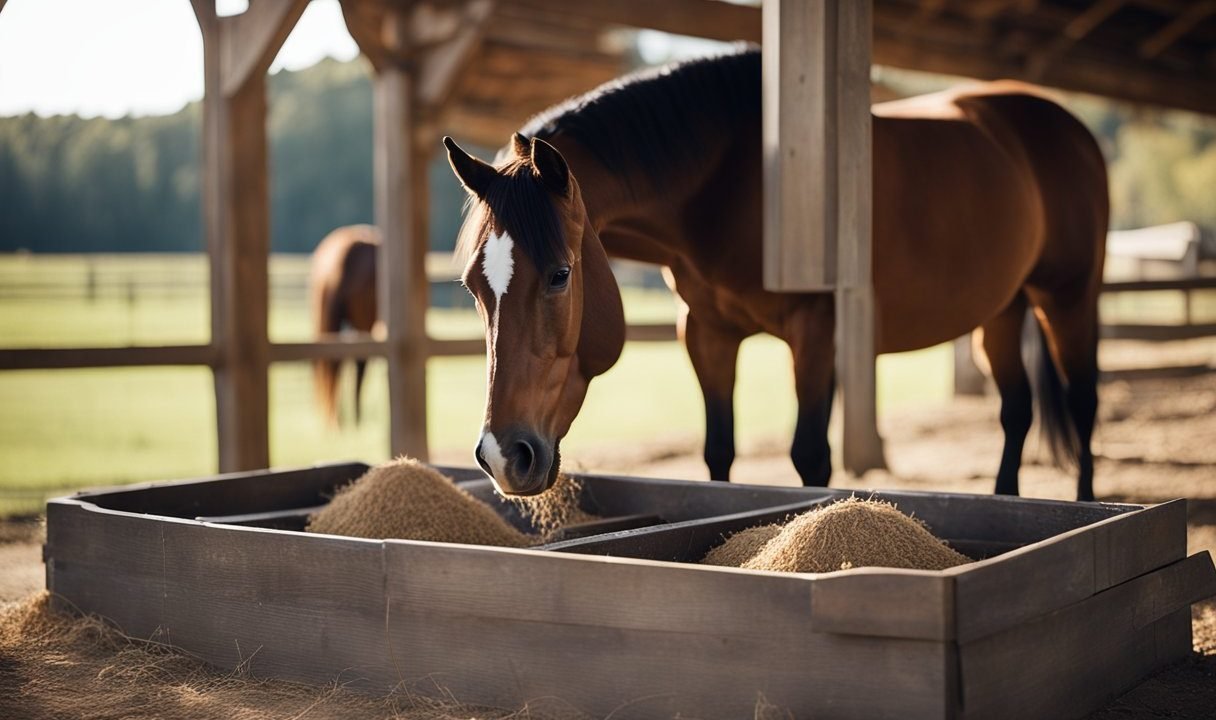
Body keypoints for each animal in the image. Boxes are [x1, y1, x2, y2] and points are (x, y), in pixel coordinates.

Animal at [442, 49, 1108, 501]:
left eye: (559, 275)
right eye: (474, 287)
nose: (503, 457)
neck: (734, 180)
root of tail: (1069, 126)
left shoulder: (815, 330)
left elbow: (810, 456)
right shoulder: (707, 333)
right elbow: (719, 450)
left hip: (1068, 299)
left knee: (1082, 401)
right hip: (1004, 310)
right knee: (1017, 411)